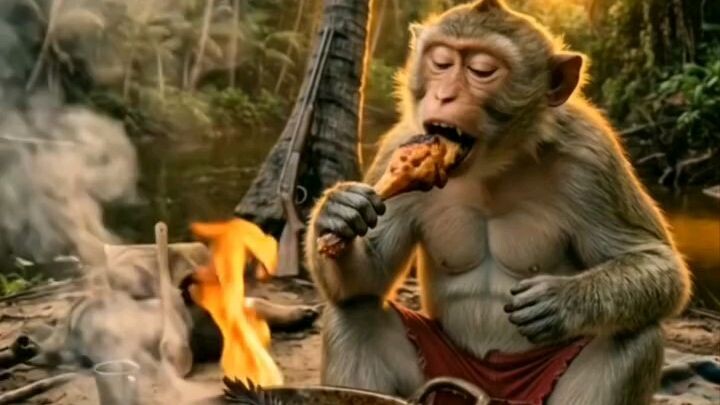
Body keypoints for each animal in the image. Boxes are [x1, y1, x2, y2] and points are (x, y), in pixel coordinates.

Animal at [304, 1, 692, 404]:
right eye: (441, 63)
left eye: (482, 71)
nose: (444, 96)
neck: (494, 164)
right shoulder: (401, 142)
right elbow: (368, 280)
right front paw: (338, 214)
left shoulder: (592, 157)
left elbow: (655, 260)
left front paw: (562, 300)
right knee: (356, 312)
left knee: (632, 336)